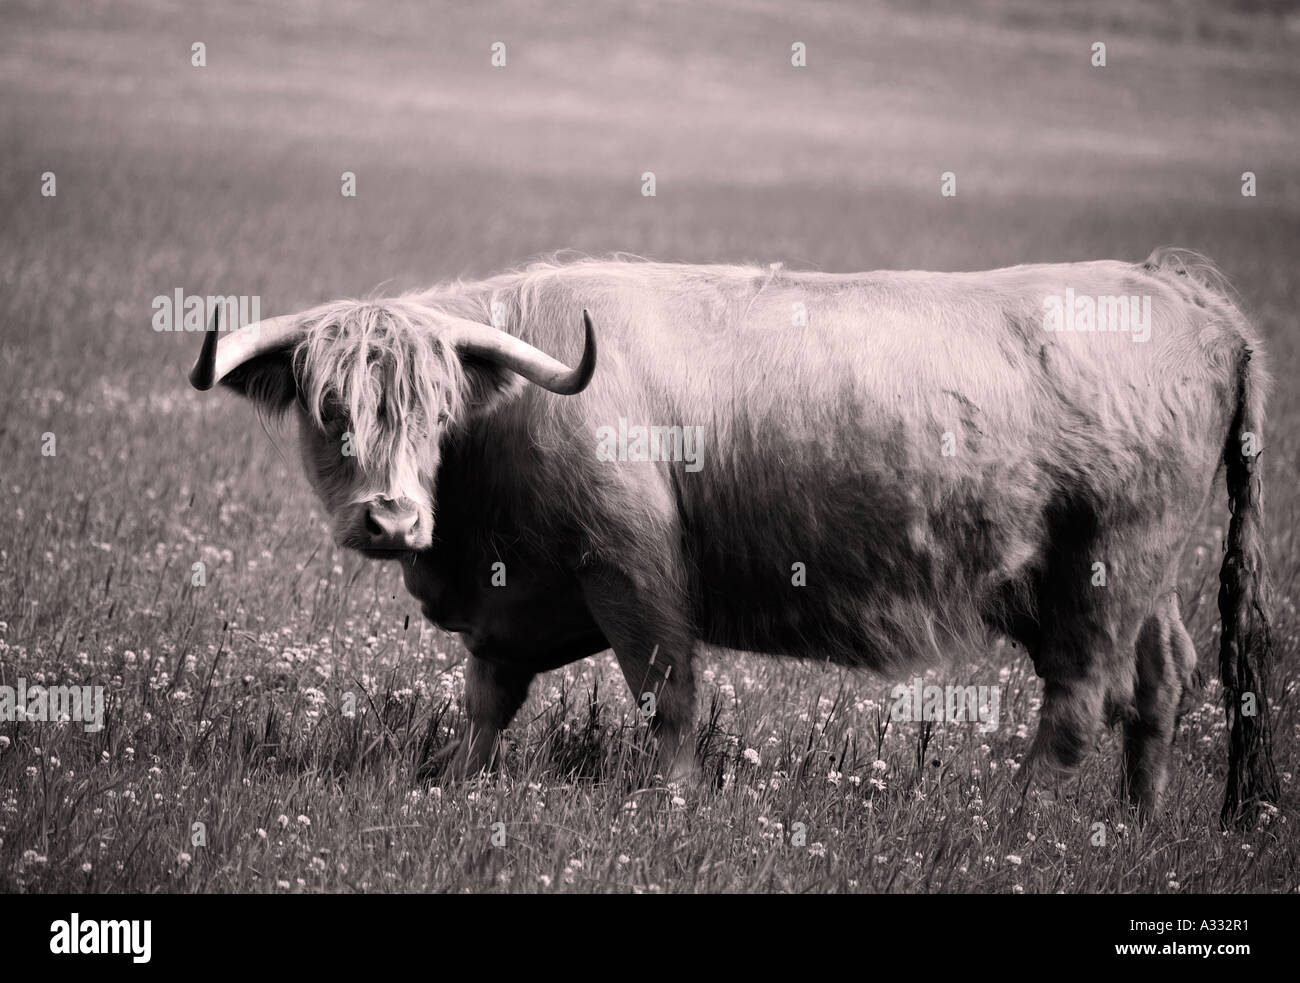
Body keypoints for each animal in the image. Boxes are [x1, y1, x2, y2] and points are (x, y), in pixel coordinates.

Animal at [189, 249, 1278, 825]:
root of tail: (1189, 298)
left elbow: (668, 696)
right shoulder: (514, 602)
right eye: (327, 410)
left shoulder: (630, 572)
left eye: (434, 407)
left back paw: (1001, 820)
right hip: (1137, 578)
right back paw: (1131, 819)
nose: (390, 516)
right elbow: (487, 700)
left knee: (1078, 705)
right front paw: (453, 779)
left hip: (1104, 570)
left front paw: (672, 801)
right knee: (1161, 681)